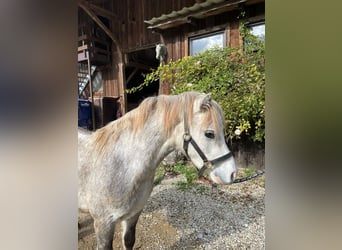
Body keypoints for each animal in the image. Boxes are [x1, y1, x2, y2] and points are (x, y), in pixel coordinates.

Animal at [78, 92, 236, 250]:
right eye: (209, 134)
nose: (232, 174)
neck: (121, 167)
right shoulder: (103, 224)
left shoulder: (133, 214)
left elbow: (129, 241)